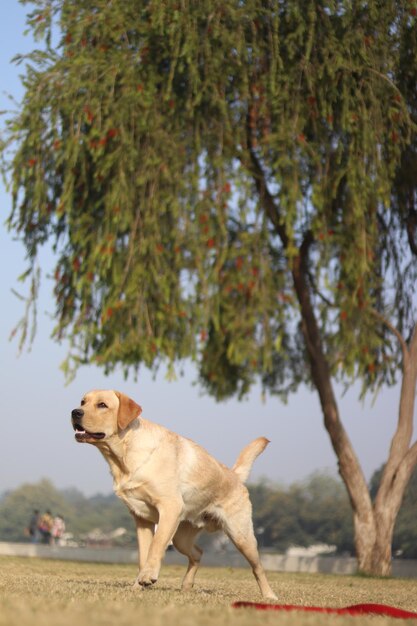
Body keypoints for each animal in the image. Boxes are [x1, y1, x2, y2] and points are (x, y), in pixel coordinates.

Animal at [70, 388, 276, 596]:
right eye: (83, 402)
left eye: (102, 405)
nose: (75, 412)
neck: (124, 457)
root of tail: (235, 475)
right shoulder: (141, 519)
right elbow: (143, 556)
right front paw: (138, 585)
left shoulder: (169, 507)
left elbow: (157, 545)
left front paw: (148, 576)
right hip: (181, 538)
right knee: (198, 553)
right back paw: (186, 585)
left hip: (241, 536)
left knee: (258, 568)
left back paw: (269, 595)